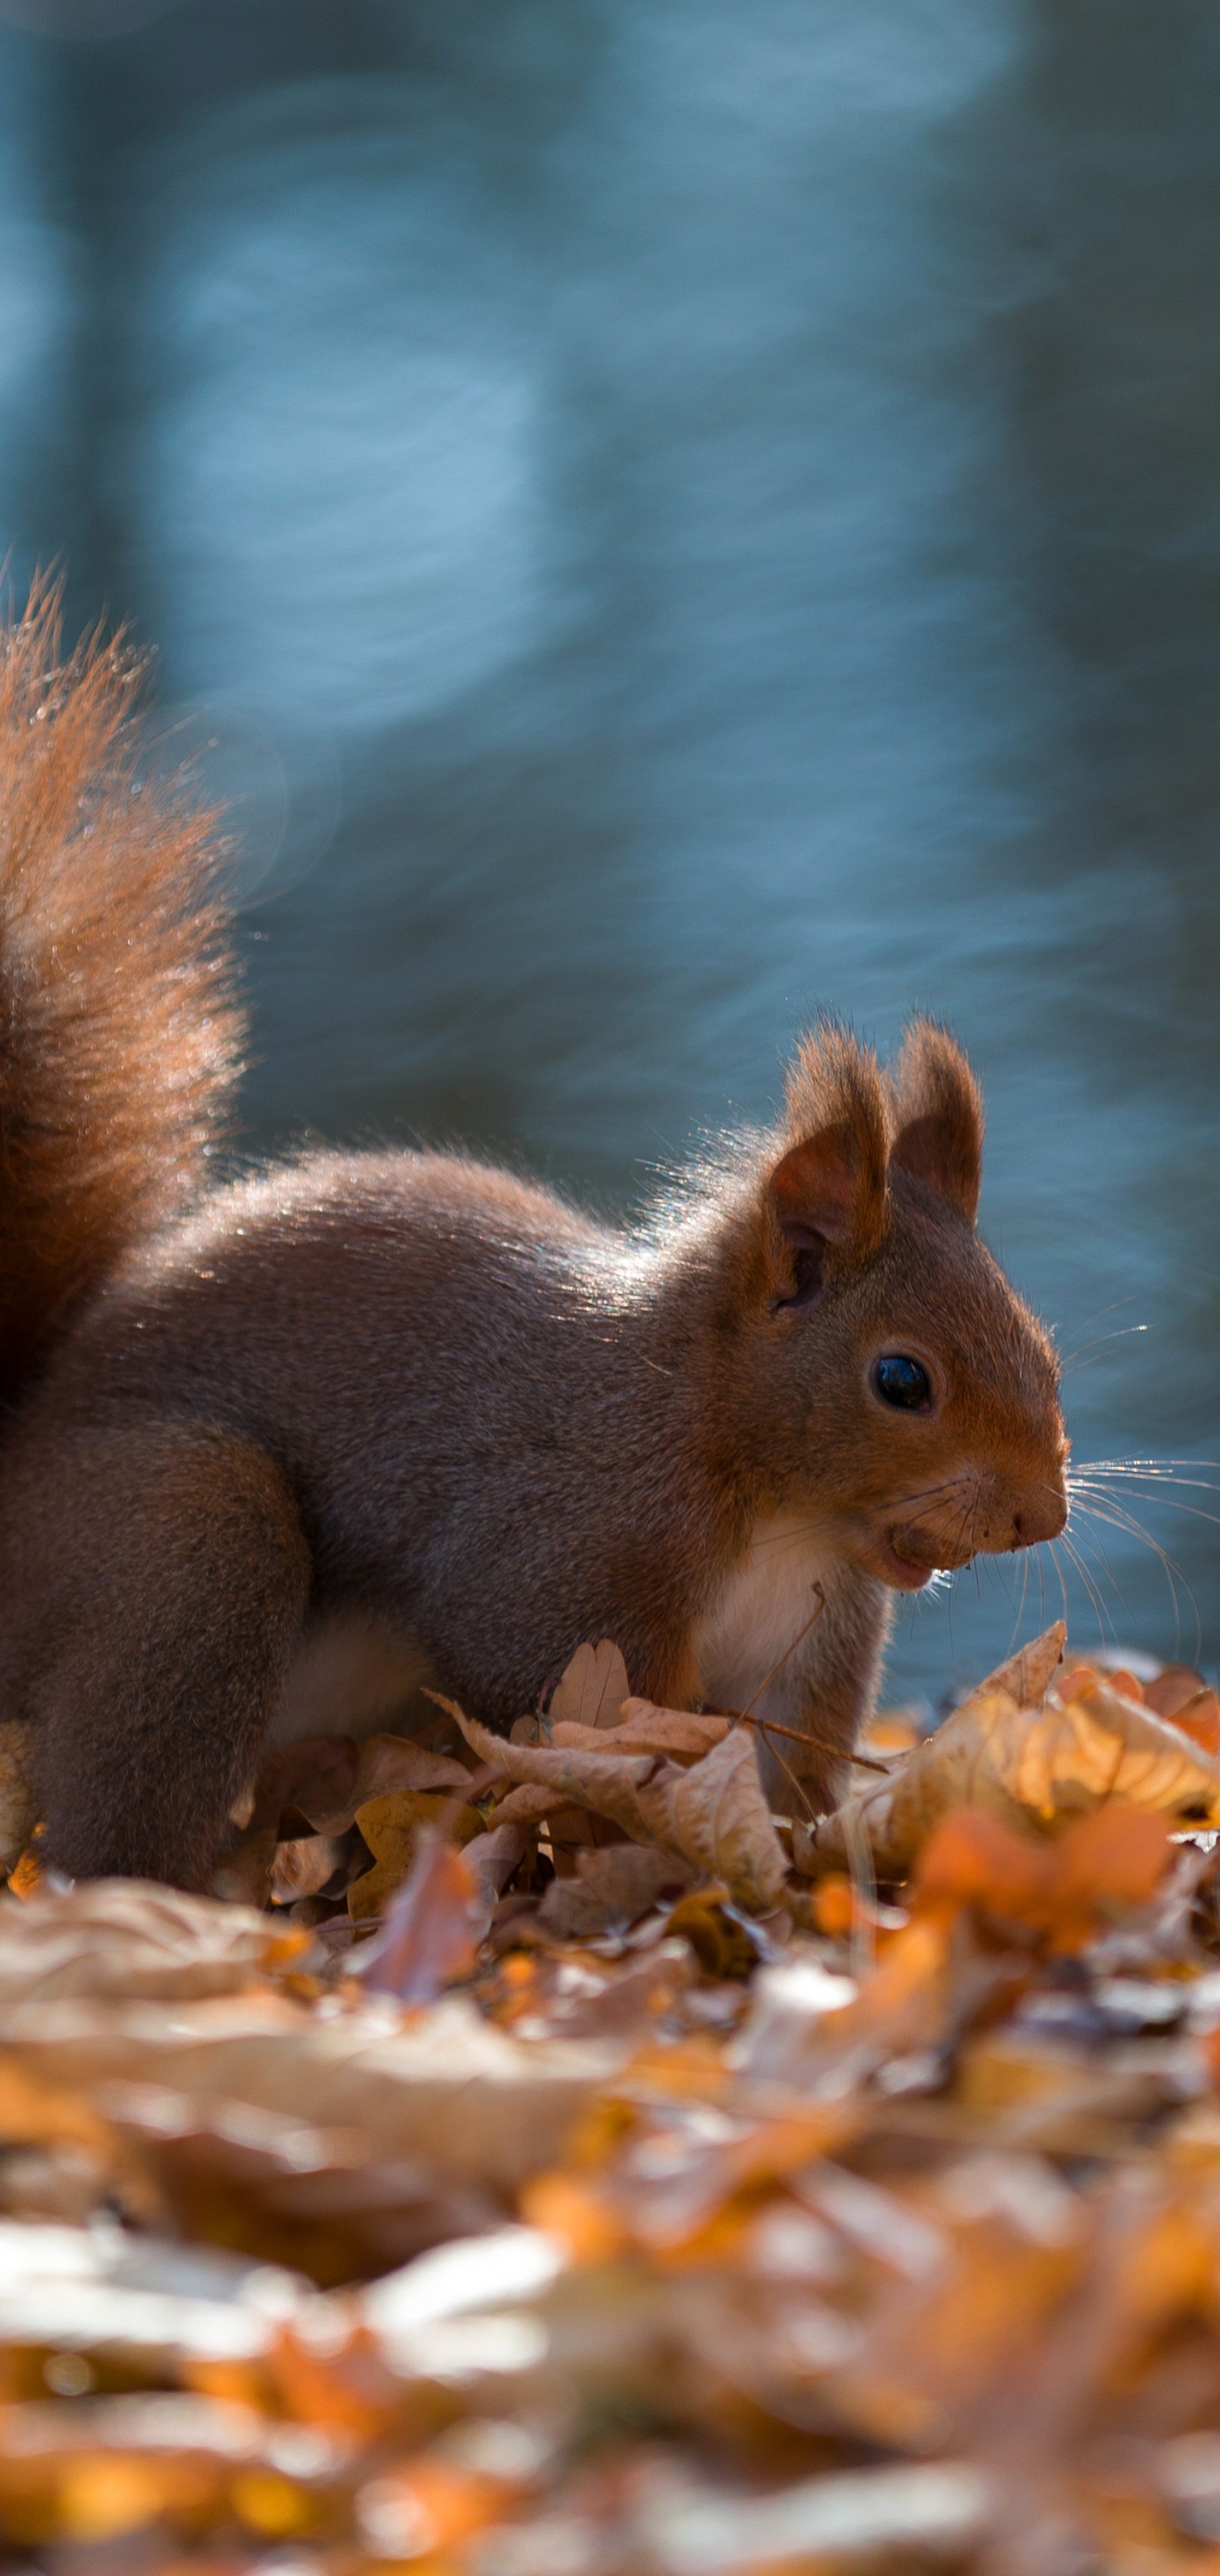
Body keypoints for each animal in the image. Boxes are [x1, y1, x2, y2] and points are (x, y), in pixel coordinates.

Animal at [0, 592, 1065, 1885]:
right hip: (179, 1535)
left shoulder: (813, 1641)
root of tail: (19, 1437)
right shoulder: (553, 1557)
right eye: (902, 1380)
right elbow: (588, 1710)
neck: (760, 1486)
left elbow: (785, 1777)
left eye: (1044, 1341)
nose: (1043, 1516)